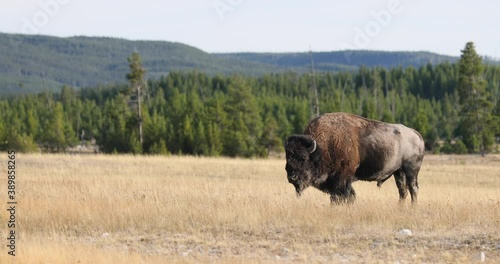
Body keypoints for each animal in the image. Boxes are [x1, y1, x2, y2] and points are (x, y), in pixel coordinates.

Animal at [288, 111, 424, 204]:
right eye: (288, 157)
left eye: (303, 158)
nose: (291, 177)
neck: (324, 147)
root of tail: (417, 135)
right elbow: (349, 196)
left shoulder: (343, 179)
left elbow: (341, 196)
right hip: (398, 172)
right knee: (402, 190)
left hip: (411, 170)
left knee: (413, 188)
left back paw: (413, 207)